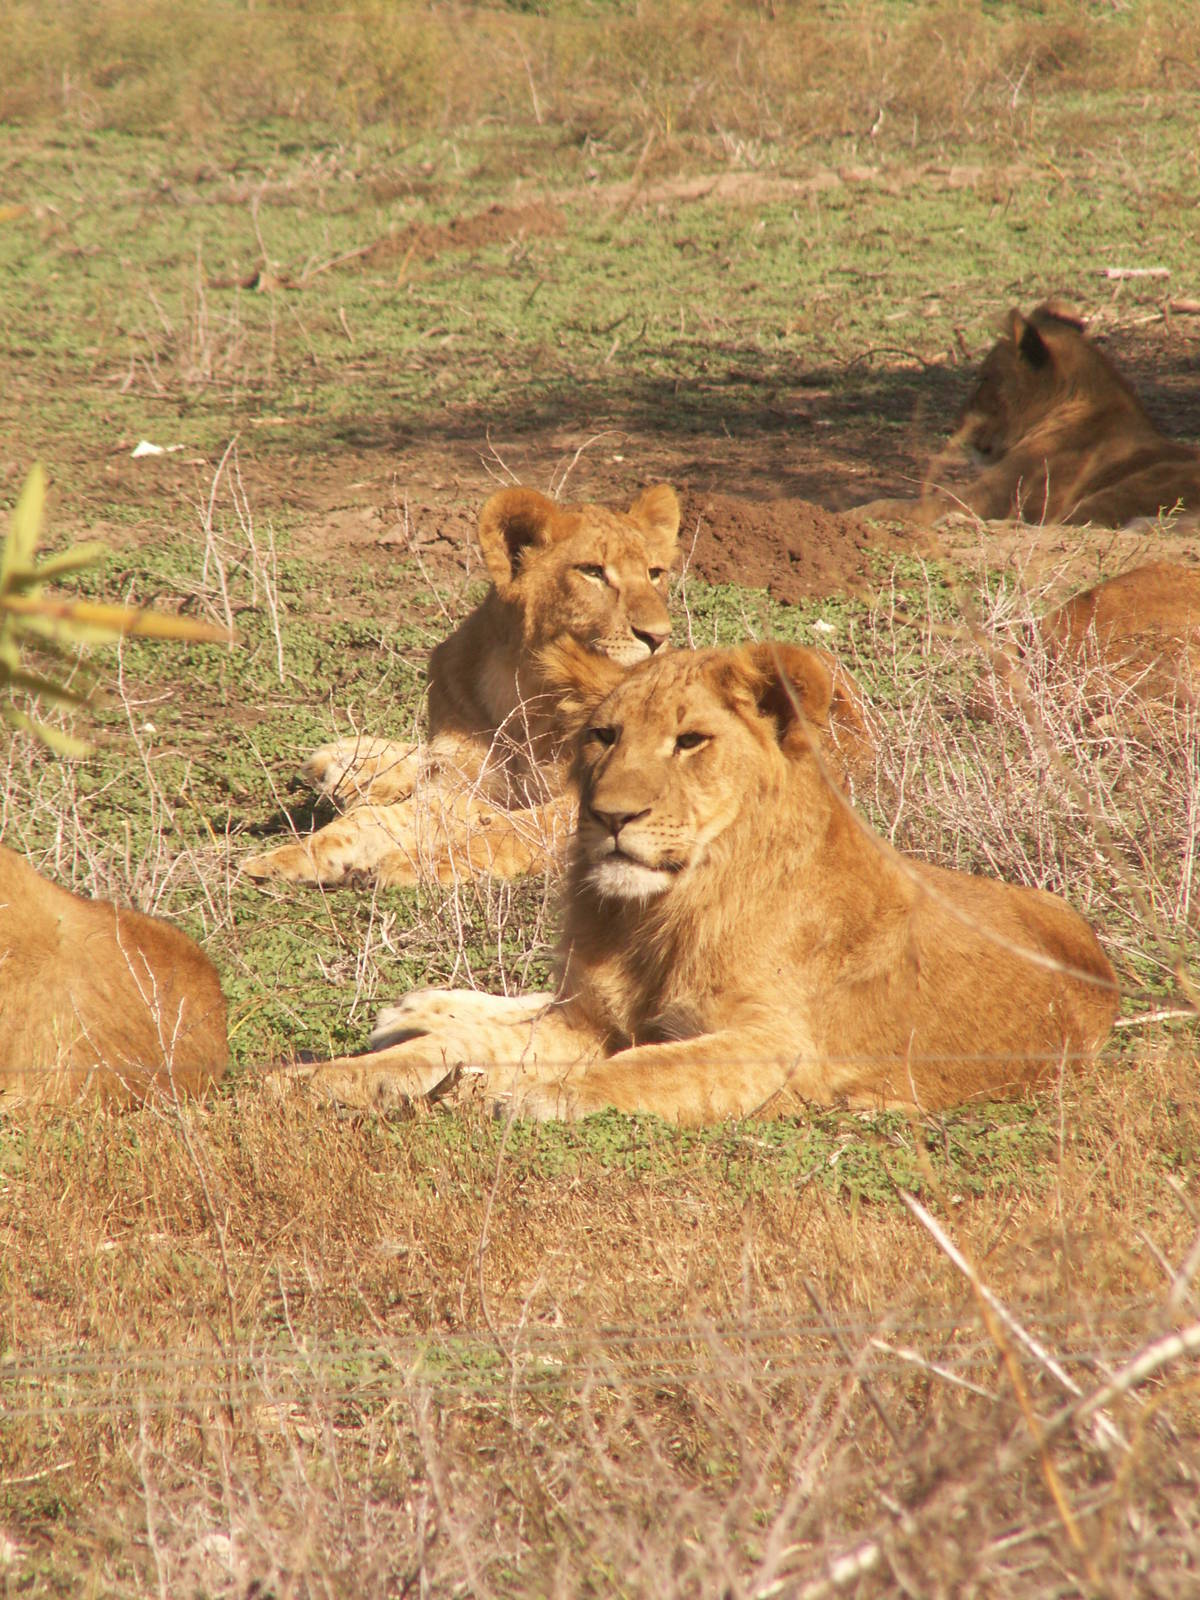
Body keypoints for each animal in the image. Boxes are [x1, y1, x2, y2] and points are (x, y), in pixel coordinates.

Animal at [243, 483, 682, 887]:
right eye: (592, 571)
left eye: (654, 573)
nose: (659, 636)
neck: (529, 692)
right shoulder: (458, 784)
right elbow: (380, 818)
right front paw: (288, 856)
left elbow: (508, 830)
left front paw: (417, 863)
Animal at [272, 642, 1116, 1125]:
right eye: (603, 736)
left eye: (690, 742)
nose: (610, 816)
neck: (660, 913)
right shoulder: (587, 1019)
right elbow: (446, 1052)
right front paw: (311, 1082)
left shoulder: (774, 1048)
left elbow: (637, 1067)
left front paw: (502, 1094)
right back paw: (415, 1008)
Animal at [859, 303, 1200, 528]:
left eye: (983, 379)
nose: (955, 424)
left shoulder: (986, 495)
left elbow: (903, 504)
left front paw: (857, 513)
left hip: (1139, 483)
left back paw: (961, 523)